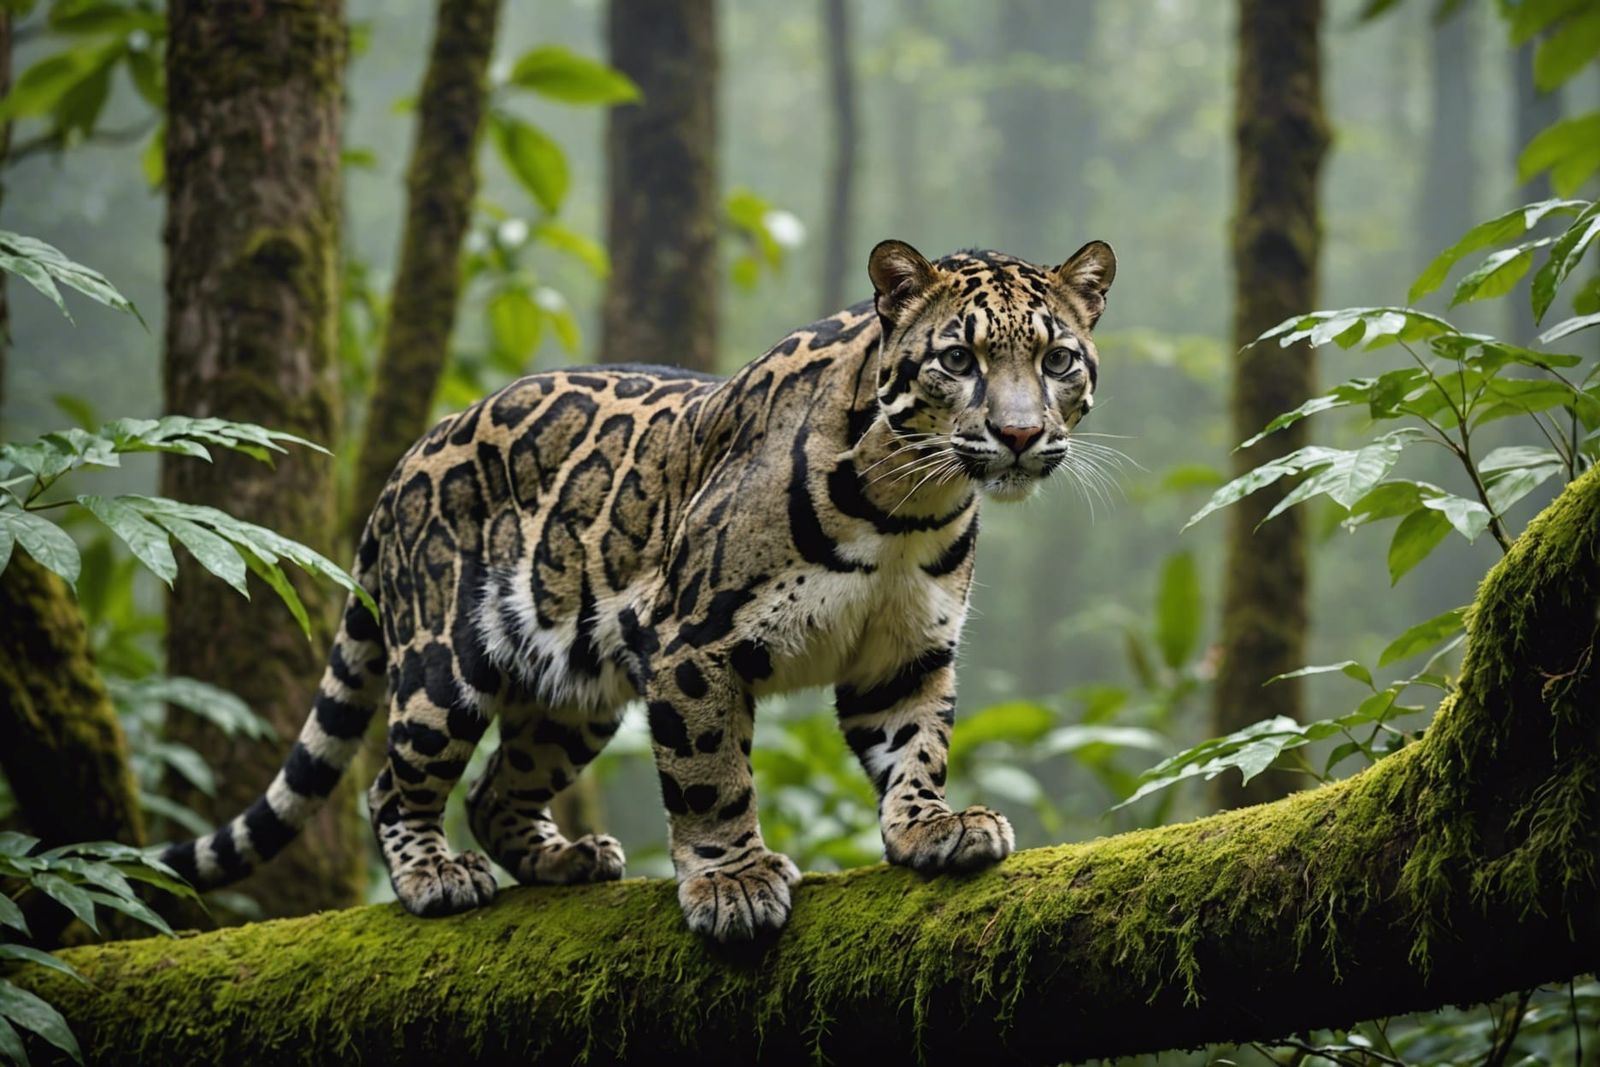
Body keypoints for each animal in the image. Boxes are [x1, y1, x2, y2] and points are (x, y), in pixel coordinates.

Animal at [162, 237, 1117, 941]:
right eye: (957, 358)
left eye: (1057, 359)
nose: (1020, 434)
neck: (907, 505)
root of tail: (406, 462)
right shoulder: (694, 644)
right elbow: (710, 774)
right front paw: (733, 881)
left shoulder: (904, 653)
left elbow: (917, 744)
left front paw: (930, 825)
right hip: (441, 666)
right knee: (395, 783)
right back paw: (435, 873)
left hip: (575, 693)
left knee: (495, 787)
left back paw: (565, 859)